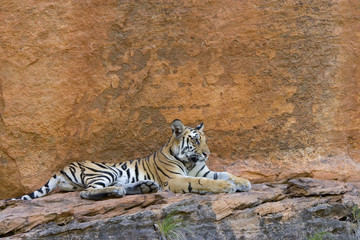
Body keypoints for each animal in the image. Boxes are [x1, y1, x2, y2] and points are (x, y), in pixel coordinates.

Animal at [9, 120, 250, 201]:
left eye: (206, 140)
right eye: (196, 140)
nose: (207, 154)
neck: (190, 161)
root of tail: (64, 166)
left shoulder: (204, 170)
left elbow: (225, 173)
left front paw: (243, 182)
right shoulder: (175, 179)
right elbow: (204, 182)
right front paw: (226, 187)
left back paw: (145, 187)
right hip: (105, 171)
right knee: (87, 192)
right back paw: (119, 192)